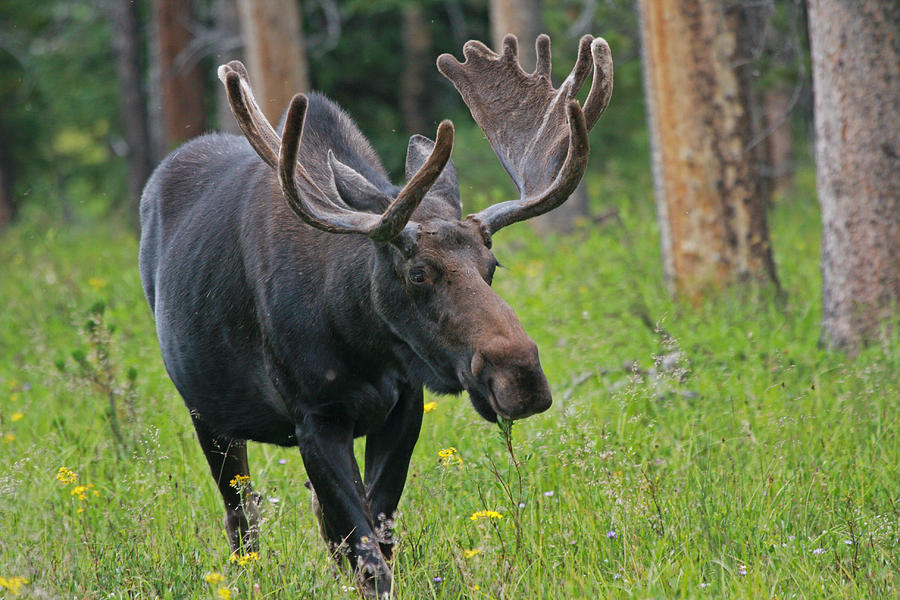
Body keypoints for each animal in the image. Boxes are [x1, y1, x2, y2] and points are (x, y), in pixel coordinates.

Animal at [139, 35, 612, 596]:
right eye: (418, 273)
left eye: (491, 265)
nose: (520, 376)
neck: (359, 338)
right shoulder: (315, 416)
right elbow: (366, 552)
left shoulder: (405, 406)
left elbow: (376, 531)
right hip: (207, 413)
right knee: (242, 517)